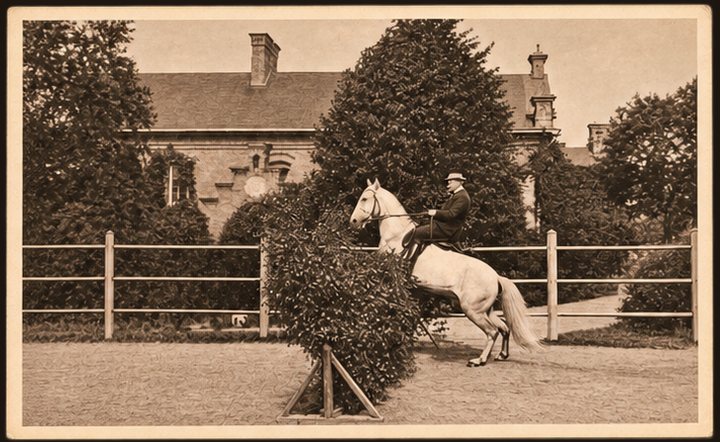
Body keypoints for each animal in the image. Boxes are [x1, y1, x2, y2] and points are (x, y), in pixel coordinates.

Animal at [349, 178, 543, 366]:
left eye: (364, 199)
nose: (353, 222)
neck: (396, 237)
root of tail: (496, 277)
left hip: (472, 310)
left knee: (492, 332)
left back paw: (479, 360)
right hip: (485, 310)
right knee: (504, 328)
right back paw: (501, 355)